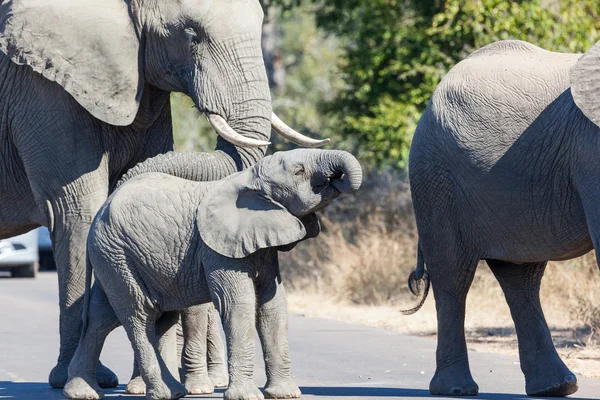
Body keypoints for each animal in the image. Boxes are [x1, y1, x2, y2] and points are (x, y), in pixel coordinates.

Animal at [63, 149, 364, 400]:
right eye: (299, 171)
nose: (336, 178)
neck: (249, 178)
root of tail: (100, 210)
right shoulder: (216, 248)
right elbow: (238, 304)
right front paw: (247, 397)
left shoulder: (262, 244)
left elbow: (273, 305)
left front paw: (285, 394)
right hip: (117, 255)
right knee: (139, 315)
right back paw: (165, 393)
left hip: (115, 259)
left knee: (104, 316)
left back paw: (82, 392)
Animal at [408, 39, 600, 396]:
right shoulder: (590, 147)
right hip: (435, 178)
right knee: (453, 277)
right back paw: (455, 390)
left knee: (521, 278)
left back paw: (556, 388)